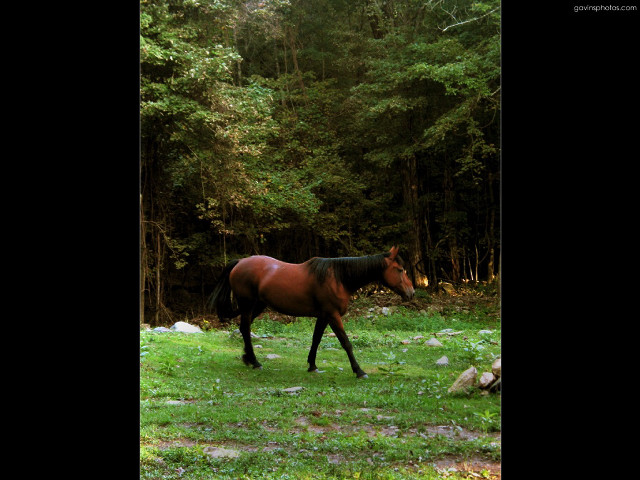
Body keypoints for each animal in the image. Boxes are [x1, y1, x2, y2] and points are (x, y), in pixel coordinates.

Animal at [209, 246, 415, 378]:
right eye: (400, 269)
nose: (411, 292)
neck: (338, 278)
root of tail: (240, 262)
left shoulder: (323, 316)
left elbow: (316, 339)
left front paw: (312, 365)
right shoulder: (332, 315)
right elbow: (346, 343)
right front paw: (359, 371)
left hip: (258, 305)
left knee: (244, 328)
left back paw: (249, 359)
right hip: (248, 304)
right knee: (245, 328)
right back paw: (255, 361)